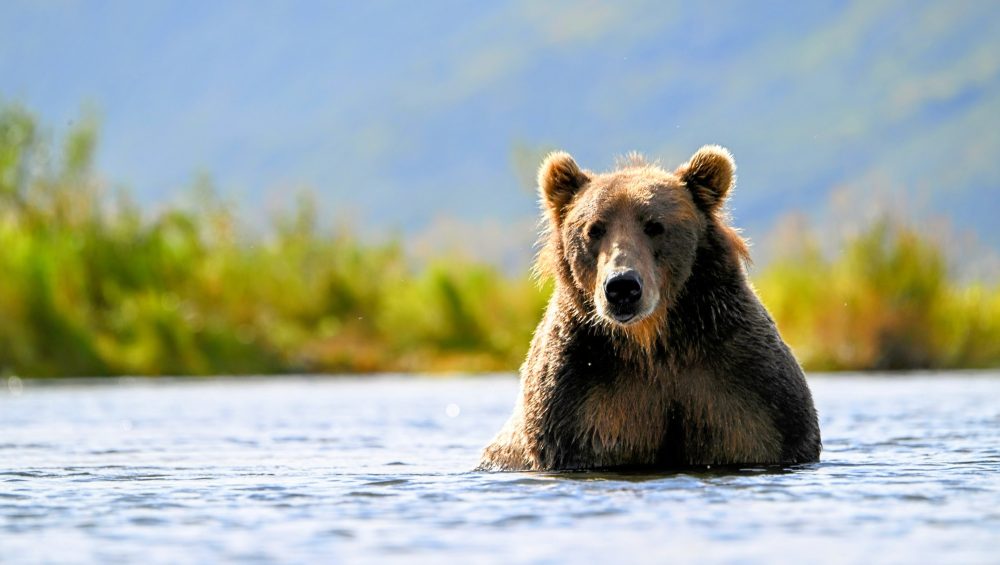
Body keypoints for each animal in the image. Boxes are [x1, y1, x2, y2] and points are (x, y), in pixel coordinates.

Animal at [478, 145, 821, 471]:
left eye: (655, 226)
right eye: (594, 228)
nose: (622, 287)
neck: (652, 343)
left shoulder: (742, 386)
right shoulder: (579, 395)